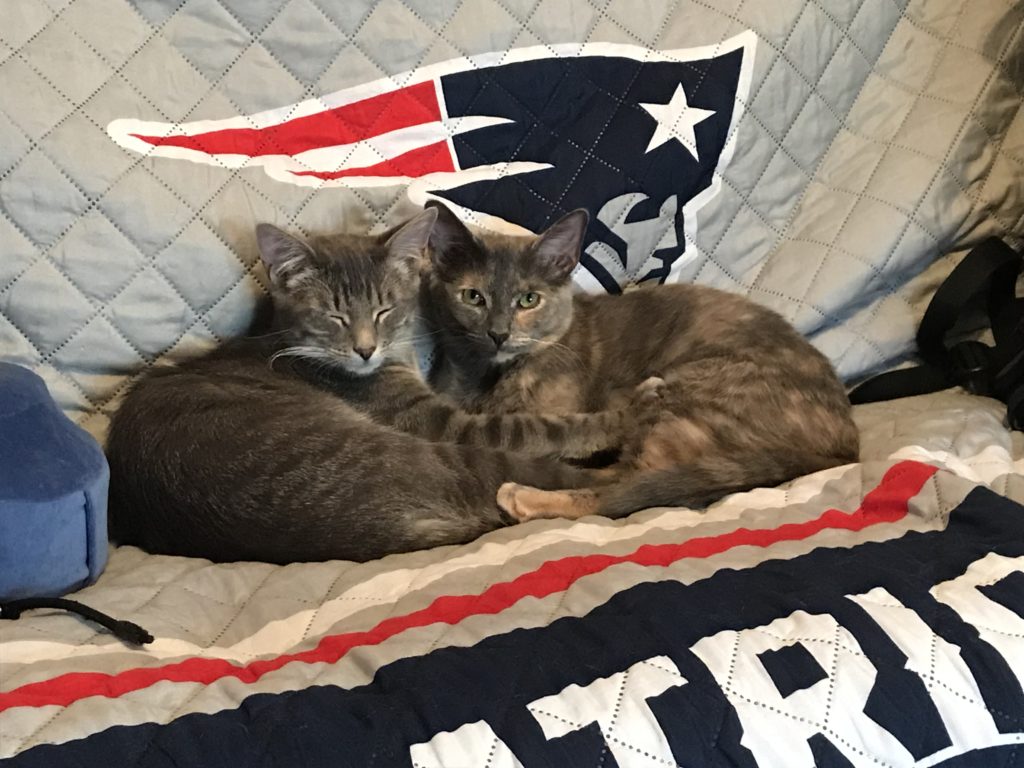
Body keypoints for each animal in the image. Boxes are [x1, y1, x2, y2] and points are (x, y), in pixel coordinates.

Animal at [106, 209, 629, 564]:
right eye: (333, 316)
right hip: (437, 456)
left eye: (385, 309)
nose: (364, 349)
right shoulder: (444, 422)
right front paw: (613, 419)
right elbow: (537, 425)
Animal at [420, 200, 860, 522]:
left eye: (529, 299)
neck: (486, 379)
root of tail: (846, 447)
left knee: (622, 489)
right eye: (473, 296)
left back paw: (522, 496)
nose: (498, 332)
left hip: (690, 394)